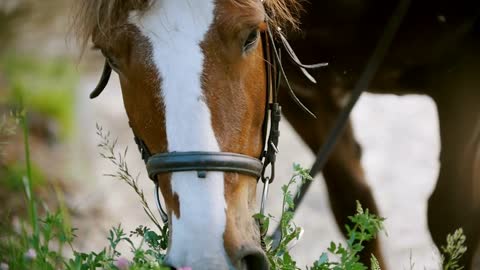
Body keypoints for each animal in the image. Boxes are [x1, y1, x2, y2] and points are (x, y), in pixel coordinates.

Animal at [74, 0, 480, 268]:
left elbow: (453, 219)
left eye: (251, 36)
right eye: (110, 56)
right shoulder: (302, 89)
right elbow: (354, 210)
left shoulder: (463, 70)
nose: (205, 254)